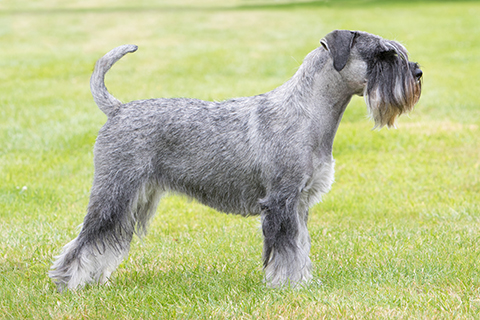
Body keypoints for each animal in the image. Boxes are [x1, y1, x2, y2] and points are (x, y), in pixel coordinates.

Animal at [49, 30, 420, 292]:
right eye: (383, 54)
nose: (417, 72)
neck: (308, 112)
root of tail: (118, 109)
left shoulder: (299, 204)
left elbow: (300, 247)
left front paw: (303, 283)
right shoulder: (281, 202)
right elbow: (286, 249)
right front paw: (286, 286)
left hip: (134, 198)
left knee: (106, 240)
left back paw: (94, 281)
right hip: (114, 193)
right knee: (85, 239)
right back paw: (68, 283)